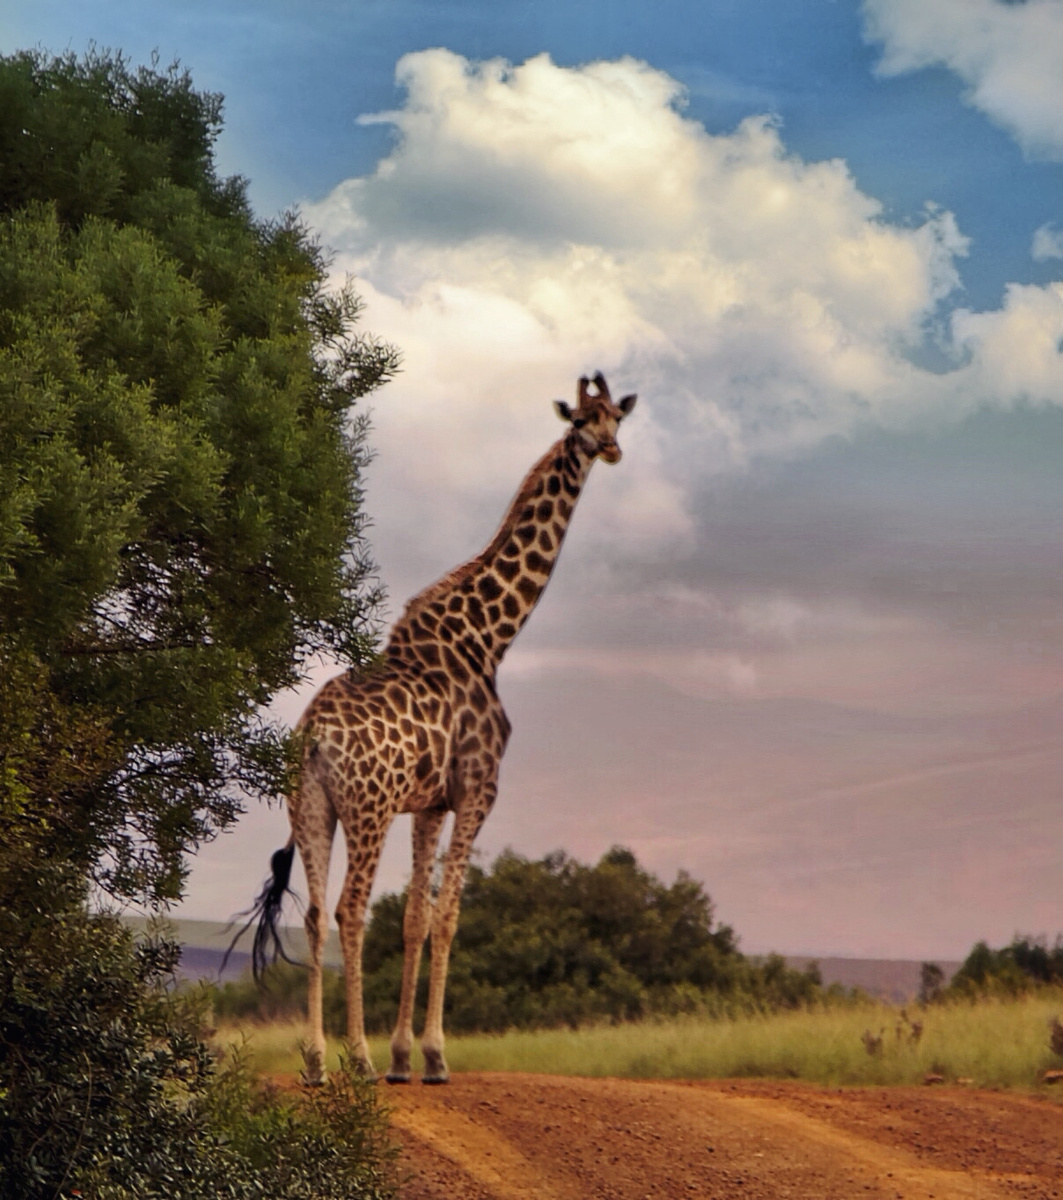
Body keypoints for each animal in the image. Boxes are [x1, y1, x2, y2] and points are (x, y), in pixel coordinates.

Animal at [245, 372, 636, 1084]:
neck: (488, 638)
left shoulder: (428, 804)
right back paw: (357, 1058)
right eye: (580, 421)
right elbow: (450, 915)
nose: (611, 450)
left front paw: (405, 1057)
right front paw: (432, 1055)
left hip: (311, 807)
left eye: (615, 418)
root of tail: (312, 738)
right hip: (368, 810)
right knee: (348, 909)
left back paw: (316, 1061)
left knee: (313, 914)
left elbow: (416, 918)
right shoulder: (479, 790)